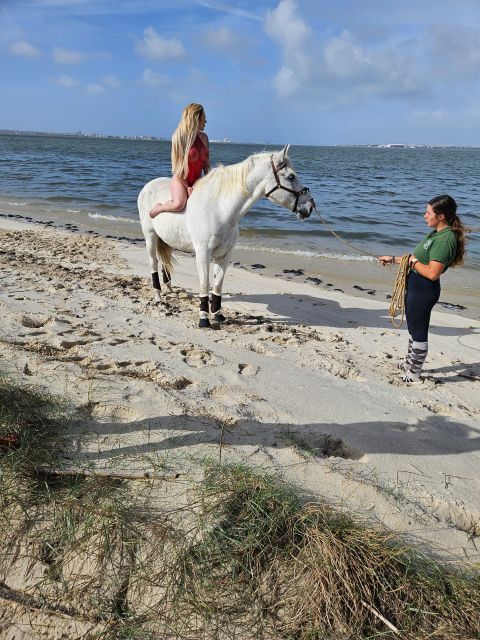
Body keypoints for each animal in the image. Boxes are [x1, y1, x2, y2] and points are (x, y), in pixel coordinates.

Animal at [138, 147, 316, 328]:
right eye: (291, 177)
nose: (310, 206)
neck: (220, 210)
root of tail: (148, 185)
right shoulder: (203, 253)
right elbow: (205, 284)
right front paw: (204, 319)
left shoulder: (224, 255)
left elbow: (217, 285)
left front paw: (218, 315)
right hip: (150, 236)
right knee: (153, 262)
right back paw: (158, 296)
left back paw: (169, 289)